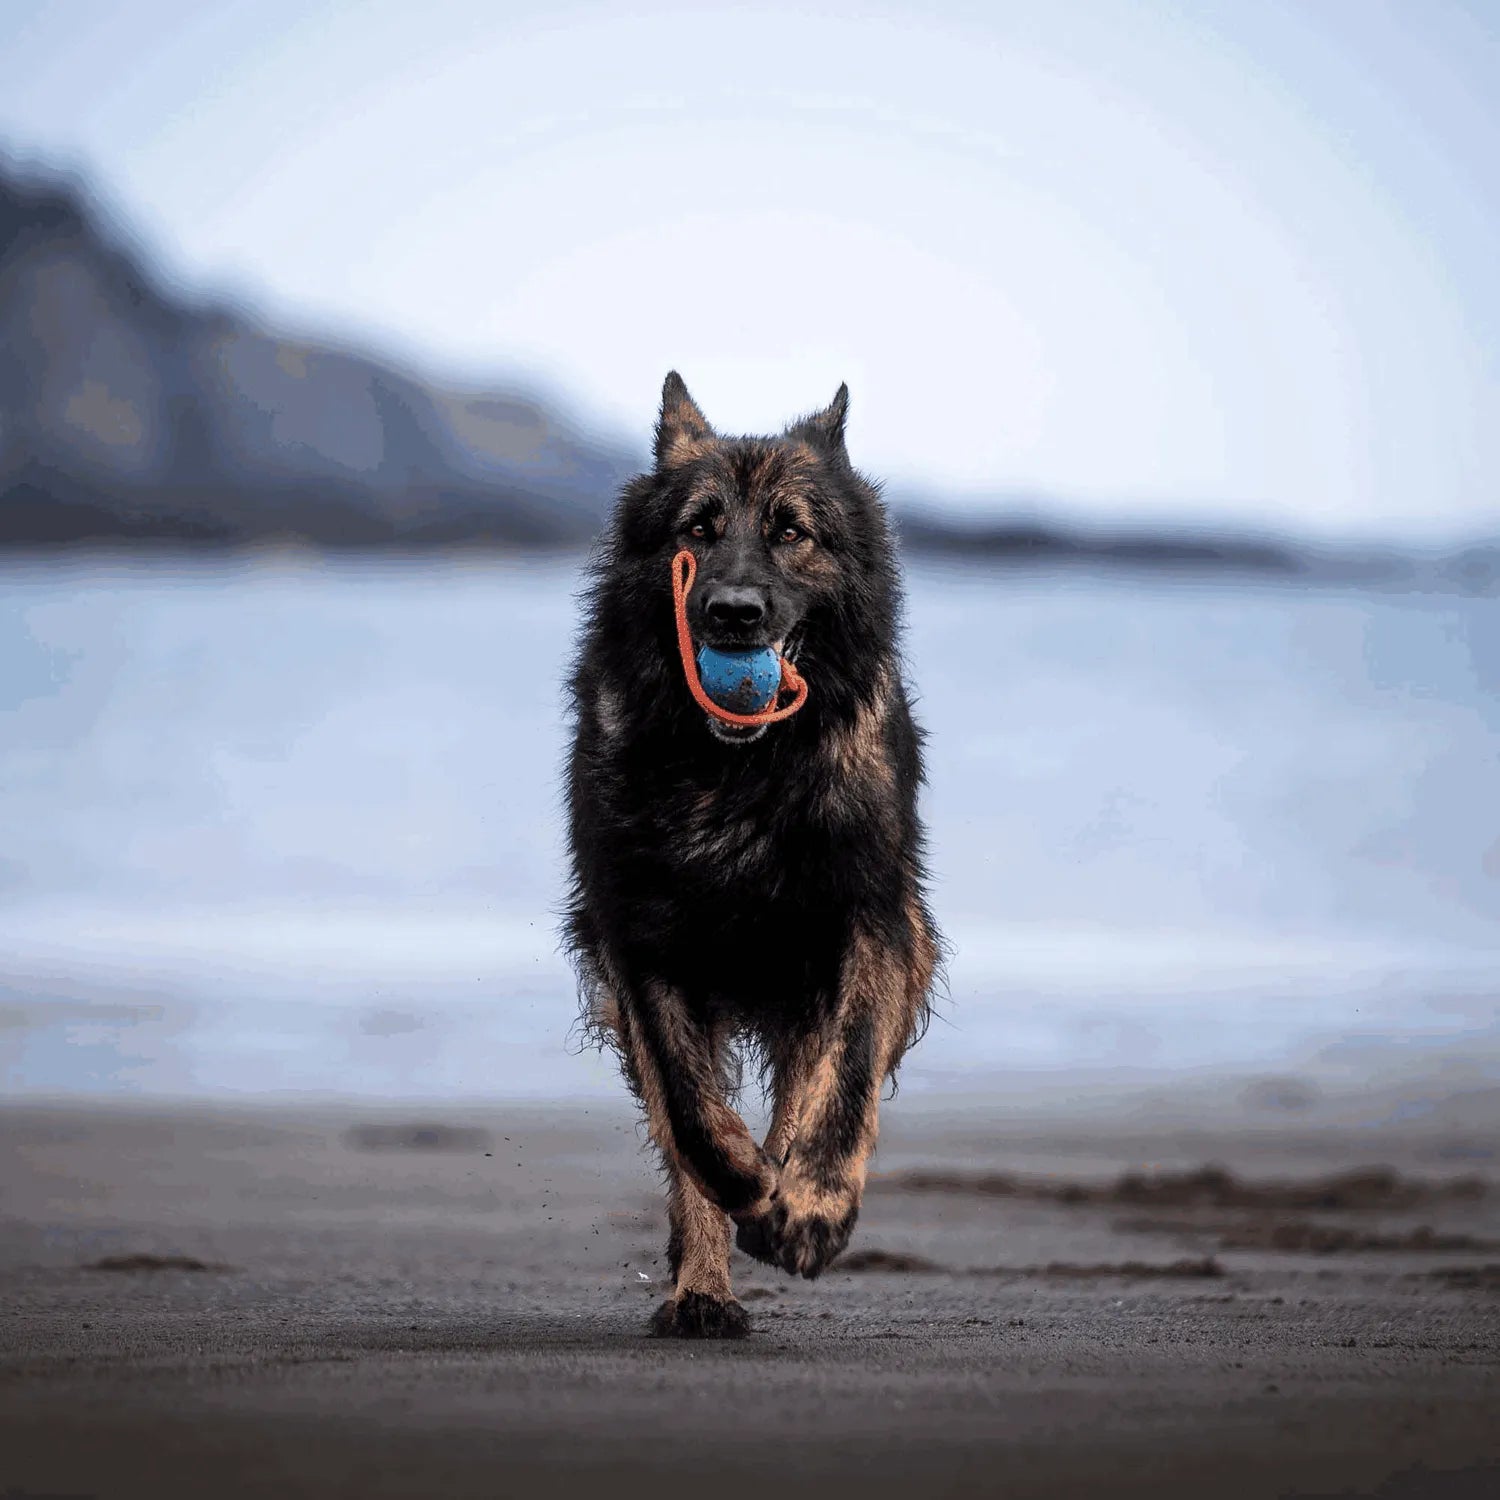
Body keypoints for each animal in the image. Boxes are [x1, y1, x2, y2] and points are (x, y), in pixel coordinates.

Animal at [564, 372, 936, 1338]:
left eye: (791, 531)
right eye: (697, 530)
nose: (733, 614)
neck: (741, 773)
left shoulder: (870, 924)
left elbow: (843, 1079)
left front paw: (809, 1206)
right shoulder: (642, 940)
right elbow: (692, 1113)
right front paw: (742, 1194)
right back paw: (706, 1278)